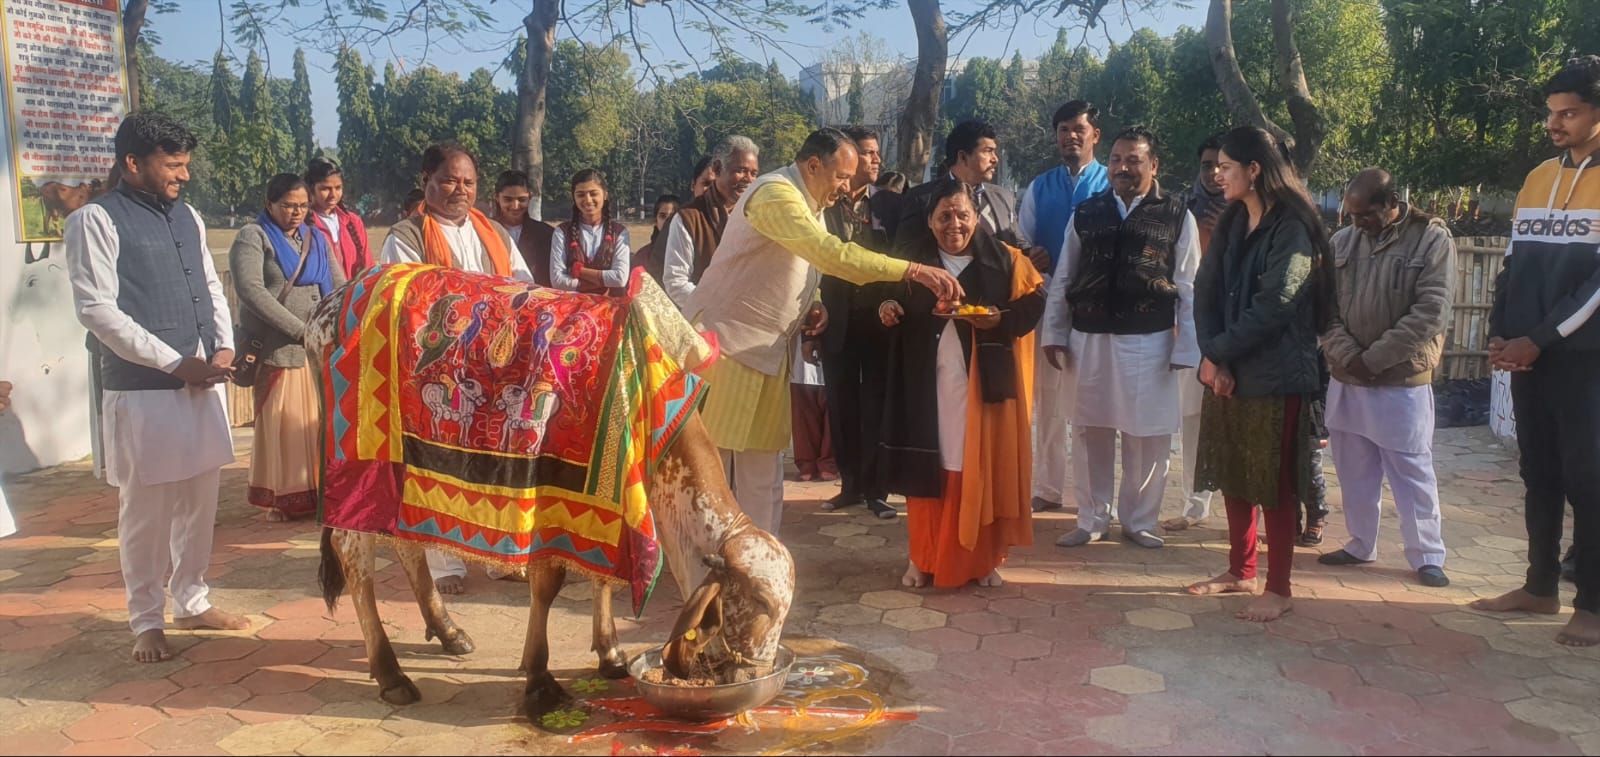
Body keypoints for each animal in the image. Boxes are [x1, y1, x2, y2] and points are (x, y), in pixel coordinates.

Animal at [304, 273, 793, 723]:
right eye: (762, 603)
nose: (756, 673)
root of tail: (328, 306)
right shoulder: (549, 499)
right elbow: (547, 585)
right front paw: (539, 679)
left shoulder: (610, 505)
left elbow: (602, 576)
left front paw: (610, 652)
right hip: (358, 471)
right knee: (354, 558)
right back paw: (390, 673)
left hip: (399, 481)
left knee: (406, 545)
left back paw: (447, 630)